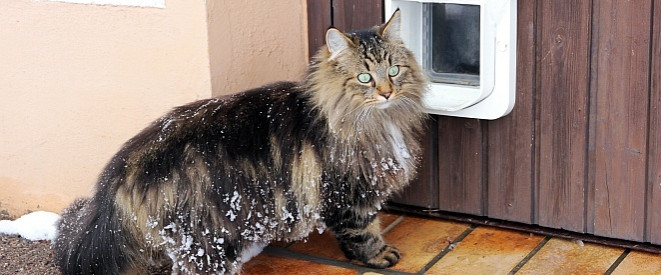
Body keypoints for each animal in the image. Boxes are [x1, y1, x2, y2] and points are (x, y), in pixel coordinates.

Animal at [52, 9, 428, 274]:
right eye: (365, 77)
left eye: (393, 70)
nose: (386, 92)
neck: (375, 120)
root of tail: (122, 167)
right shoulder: (349, 193)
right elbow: (363, 232)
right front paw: (380, 256)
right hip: (208, 239)